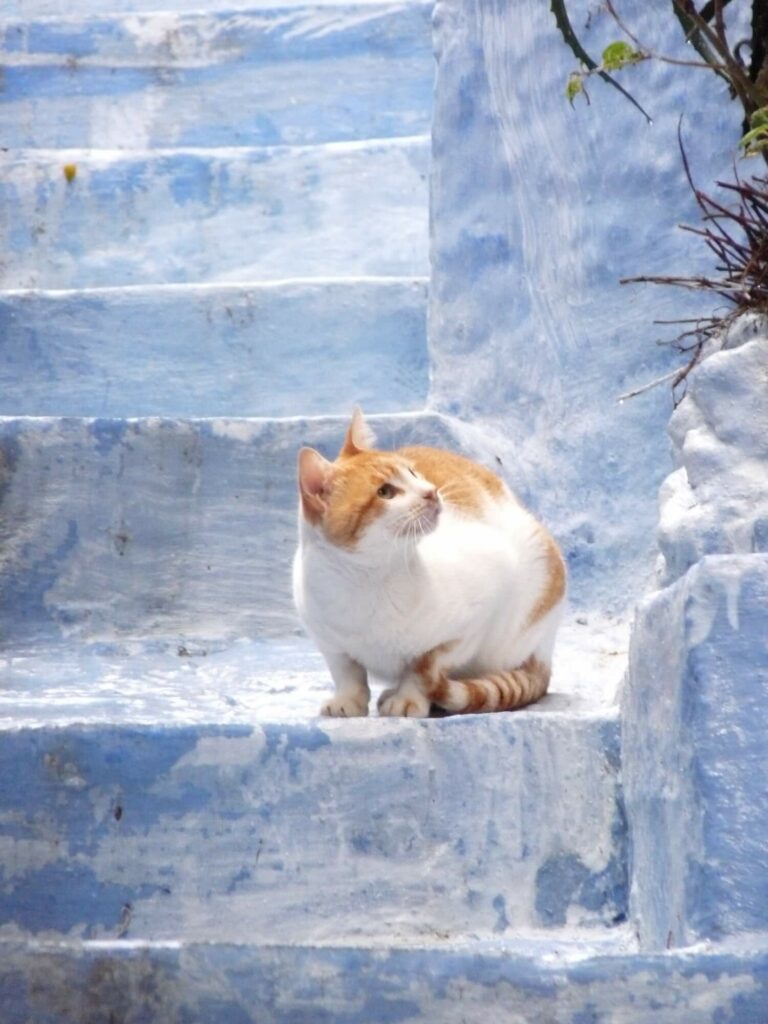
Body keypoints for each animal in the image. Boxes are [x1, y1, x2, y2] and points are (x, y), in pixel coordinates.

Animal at [290, 407, 569, 720]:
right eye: (385, 492)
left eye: (413, 472)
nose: (431, 491)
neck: (368, 581)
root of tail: (546, 649)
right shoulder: (328, 641)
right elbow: (347, 672)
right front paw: (347, 700)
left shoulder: (479, 608)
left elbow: (423, 667)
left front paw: (408, 698)